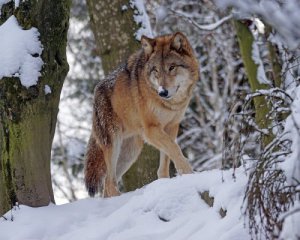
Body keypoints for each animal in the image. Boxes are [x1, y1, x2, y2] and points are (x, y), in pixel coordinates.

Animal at [84, 31, 199, 197]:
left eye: (172, 67)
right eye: (156, 70)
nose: (163, 92)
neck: (170, 104)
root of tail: (96, 91)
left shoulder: (171, 127)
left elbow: (166, 158)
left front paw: (166, 182)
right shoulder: (151, 130)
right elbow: (175, 149)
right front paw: (190, 173)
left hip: (130, 151)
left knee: (107, 185)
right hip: (114, 143)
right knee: (109, 183)